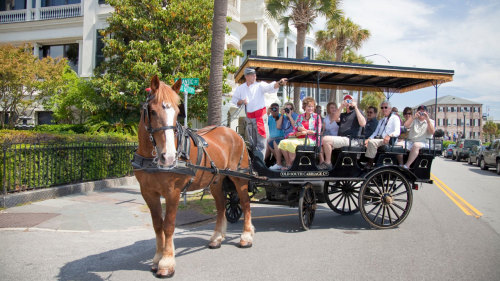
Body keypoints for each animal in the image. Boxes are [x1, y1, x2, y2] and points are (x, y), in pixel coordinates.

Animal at [134, 75, 254, 276]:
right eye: (152, 111)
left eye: (177, 112)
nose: (169, 157)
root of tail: (234, 132)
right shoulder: (148, 193)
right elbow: (157, 225)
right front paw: (157, 258)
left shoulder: (172, 192)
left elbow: (168, 225)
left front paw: (167, 262)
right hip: (216, 181)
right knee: (221, 206)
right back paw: (217, 237)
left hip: (240, 177)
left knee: (245, 203)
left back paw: (246, 236)